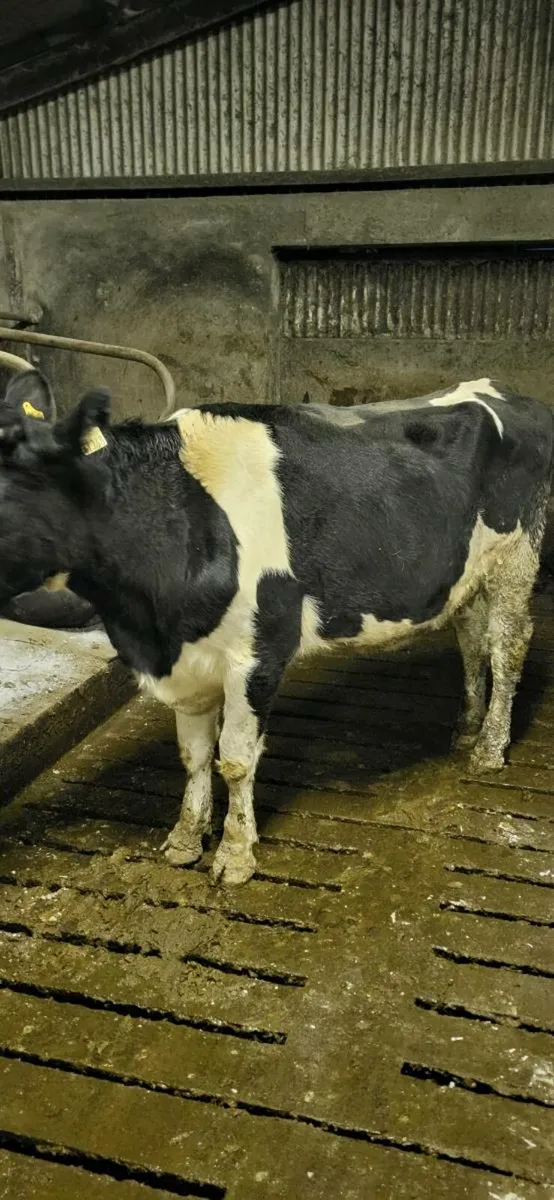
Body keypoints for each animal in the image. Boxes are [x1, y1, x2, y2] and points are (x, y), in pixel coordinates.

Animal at [0, 369, 551, 884]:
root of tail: (503, 390)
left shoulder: (258, 653)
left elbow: (235, 758)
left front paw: (235, 854)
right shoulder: (186, 657)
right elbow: (194, 755)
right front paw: (185, 838)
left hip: (516, 556)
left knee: (507, 647)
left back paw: (489, 748)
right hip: (467, 571)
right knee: (472, 640)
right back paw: (467, 726)